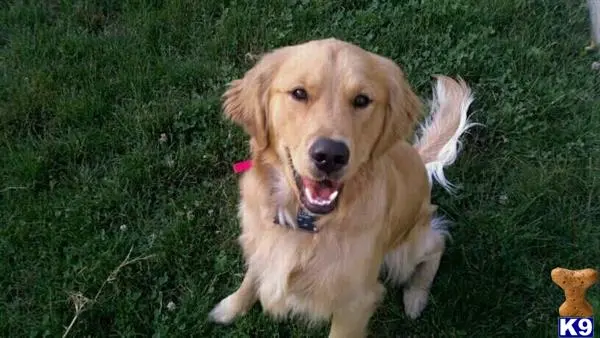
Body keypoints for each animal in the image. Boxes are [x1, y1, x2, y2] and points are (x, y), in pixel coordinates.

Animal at [209, 38, 476, 336]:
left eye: (362, 100)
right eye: (299, 93)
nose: (330, 155)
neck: (305, 224)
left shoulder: (355, 303)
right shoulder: (260, 243)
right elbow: (252, 275)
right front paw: (231, 307)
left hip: (405, 251)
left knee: (437, 242)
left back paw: (416, 296)